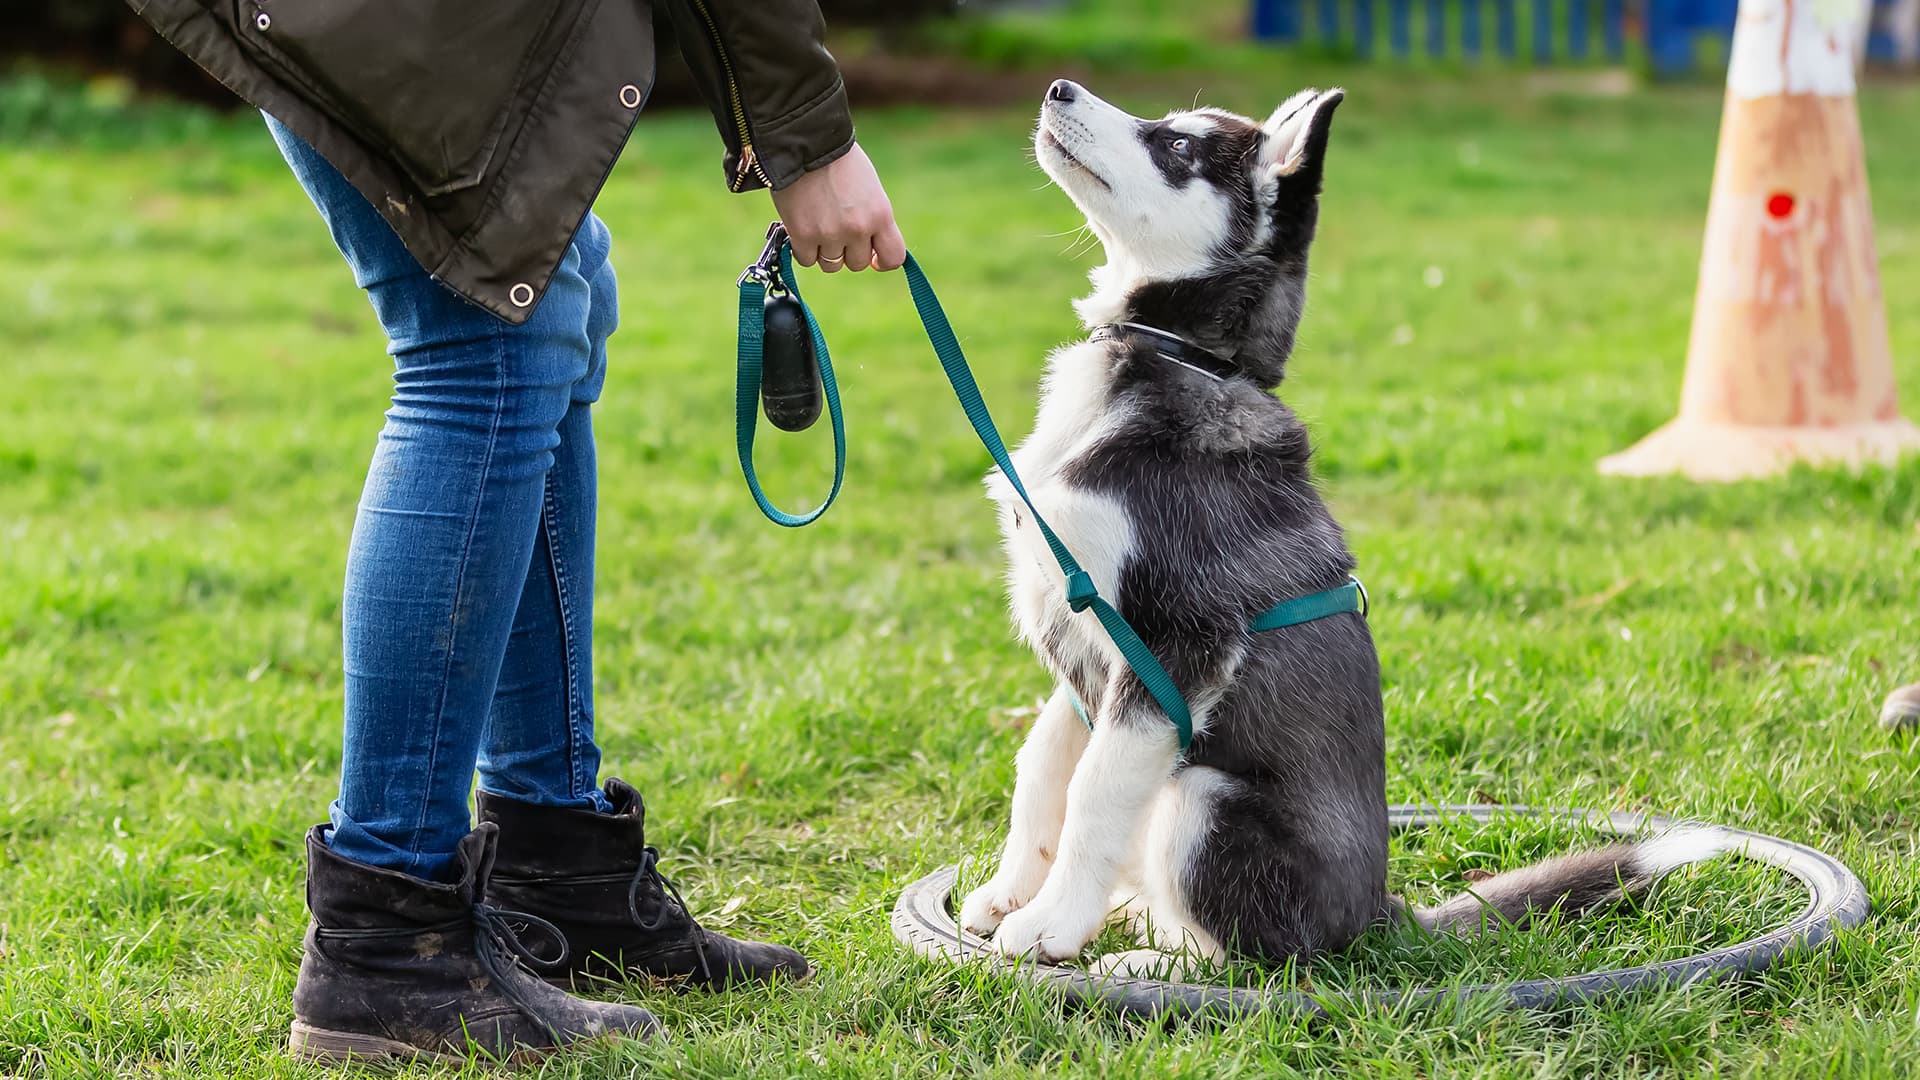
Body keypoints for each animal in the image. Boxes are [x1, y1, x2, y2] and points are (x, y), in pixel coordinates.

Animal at [960, 82, 1728, 976]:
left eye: (1178, 147)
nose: (1059, 88)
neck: (1181, 357)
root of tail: (1377, 914)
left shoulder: (1176, 645)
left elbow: (1094, 789)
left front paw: (1051, 924)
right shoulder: (1083, 642)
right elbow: (1043, 766)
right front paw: (1010, 893)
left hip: (1204, 798)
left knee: (1259, 956)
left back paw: (1150, 961)